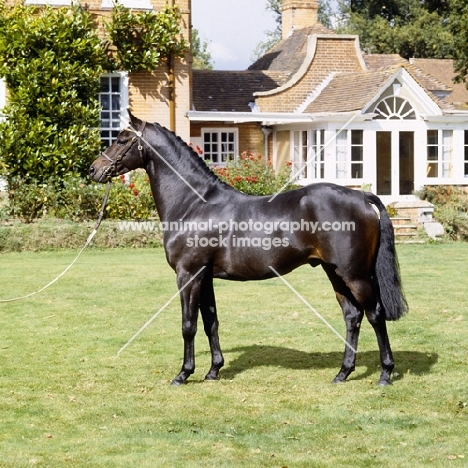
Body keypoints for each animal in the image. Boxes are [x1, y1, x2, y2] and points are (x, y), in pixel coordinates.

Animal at [89, 113, 408, 388]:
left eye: (121, 139)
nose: (93, 169)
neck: (194, 204)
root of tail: (361, 196)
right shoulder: (205, 277)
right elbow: (211, 322)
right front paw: (214, 370)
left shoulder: (188, 274)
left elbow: (188, 324)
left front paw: (183, 374)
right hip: (335, 273)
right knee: (352, 316)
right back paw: (343, 373)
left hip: (356, 275)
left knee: (375, 315)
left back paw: (385, 373)